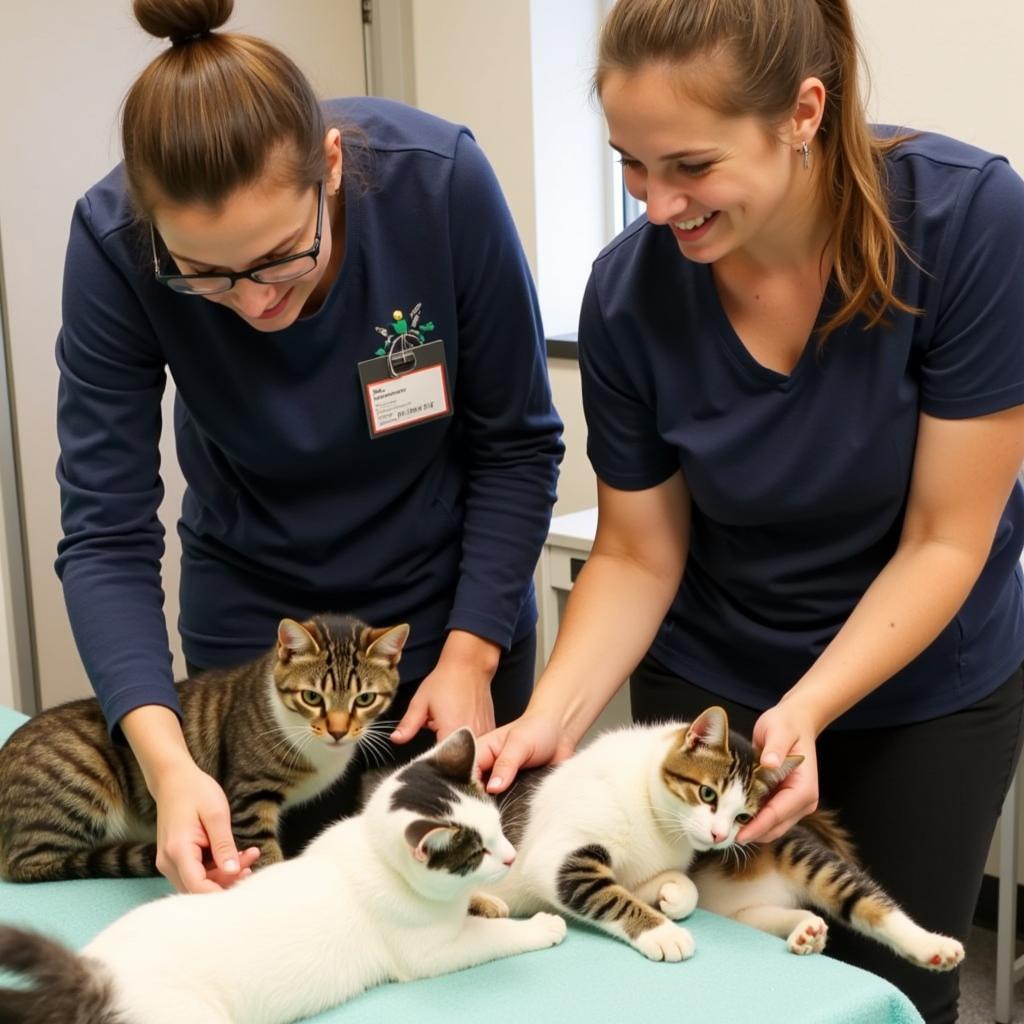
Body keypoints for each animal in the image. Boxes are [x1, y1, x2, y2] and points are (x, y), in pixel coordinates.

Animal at [0, 610, 407, 884]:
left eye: (365, 699)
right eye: (312, 697)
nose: (338, 731)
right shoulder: (247, 796)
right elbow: (264, 851)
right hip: (81, 784)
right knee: (24, 863)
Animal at [0, 729, 569, 1024]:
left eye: (498, 829)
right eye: (478, 852)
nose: (511, 858)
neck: (368, 851)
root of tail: (95, 978)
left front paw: (487, 902)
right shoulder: (428, 952)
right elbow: (490, 939)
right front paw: (538, 925)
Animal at [487, 708, 966, 970]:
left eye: (744, 816)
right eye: (707, 794)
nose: (719, 836)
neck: (657, 824)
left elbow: (646, 889)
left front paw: (669, 907)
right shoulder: (559, 856)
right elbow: (614, 893)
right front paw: (664, 925)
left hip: (799, 853)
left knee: (868, 902)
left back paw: (932, 946)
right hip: (750, 912)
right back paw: (806, 931)